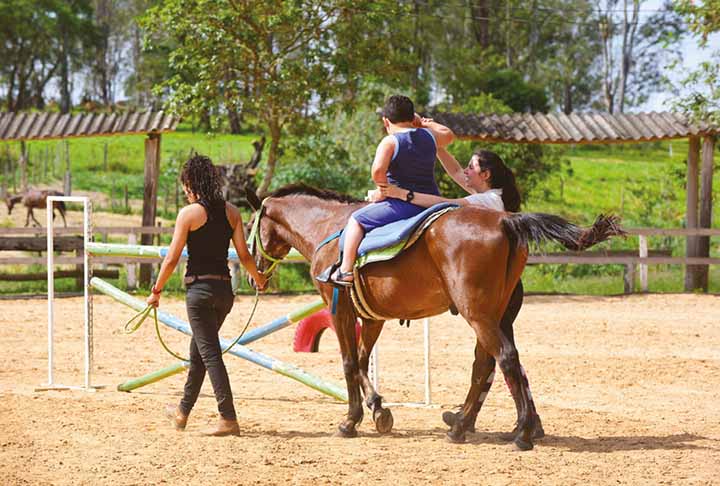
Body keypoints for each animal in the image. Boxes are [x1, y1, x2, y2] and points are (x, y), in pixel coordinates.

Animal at [248, 184, 620, 450]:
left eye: (251, 226)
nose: (254, 278)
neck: (329, 227)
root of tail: (506, 219)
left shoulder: (339, 310)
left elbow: (350, 363)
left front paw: (351, 420)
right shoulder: (372, 318)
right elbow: (365, 359)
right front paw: (378, 409)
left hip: (478, 315)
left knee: (505, 359)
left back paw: (521, 434)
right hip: (494, 315)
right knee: (486, 364)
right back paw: (462, 426)